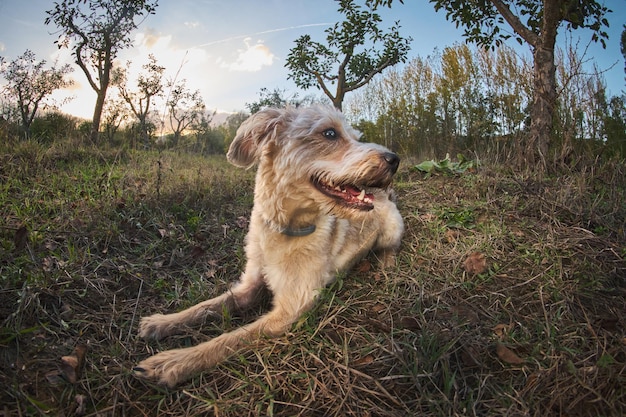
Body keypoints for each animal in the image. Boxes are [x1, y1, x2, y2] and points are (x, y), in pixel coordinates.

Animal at [133, 105, 402, 386]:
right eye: (329, 133)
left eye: (355, 136)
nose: (394, 159)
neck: (284, 230)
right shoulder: (249, 286)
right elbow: (205, 307)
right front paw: (162, 322)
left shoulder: (288, 310)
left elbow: (228, 339)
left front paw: (171, 362)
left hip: (392, 229)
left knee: (391, 247)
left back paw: (386, 264)